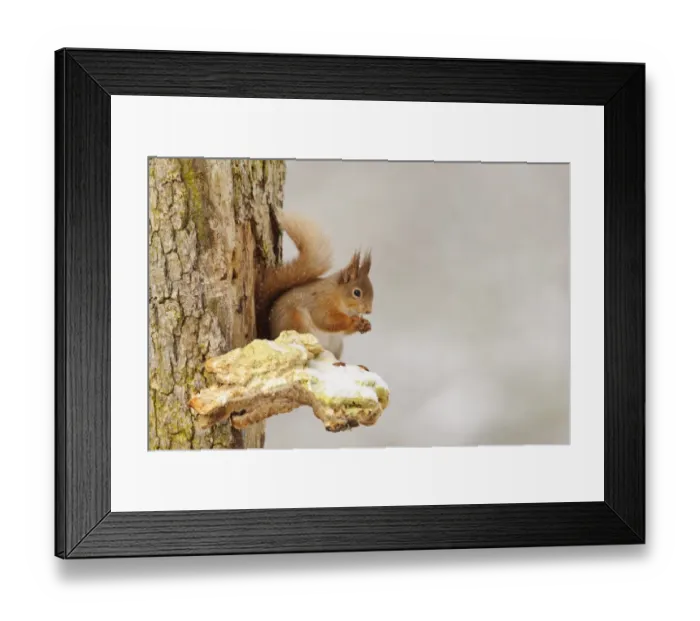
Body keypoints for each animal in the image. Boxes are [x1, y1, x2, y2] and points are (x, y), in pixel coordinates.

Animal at [255, 210, 373, 360]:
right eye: (357, 292)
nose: (369, 311)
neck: (338, 295)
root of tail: (271, 336)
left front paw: (366, 324)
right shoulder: (321, 303)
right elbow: (325, 320)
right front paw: (353, 321)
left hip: (336, 345)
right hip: (297, 323)